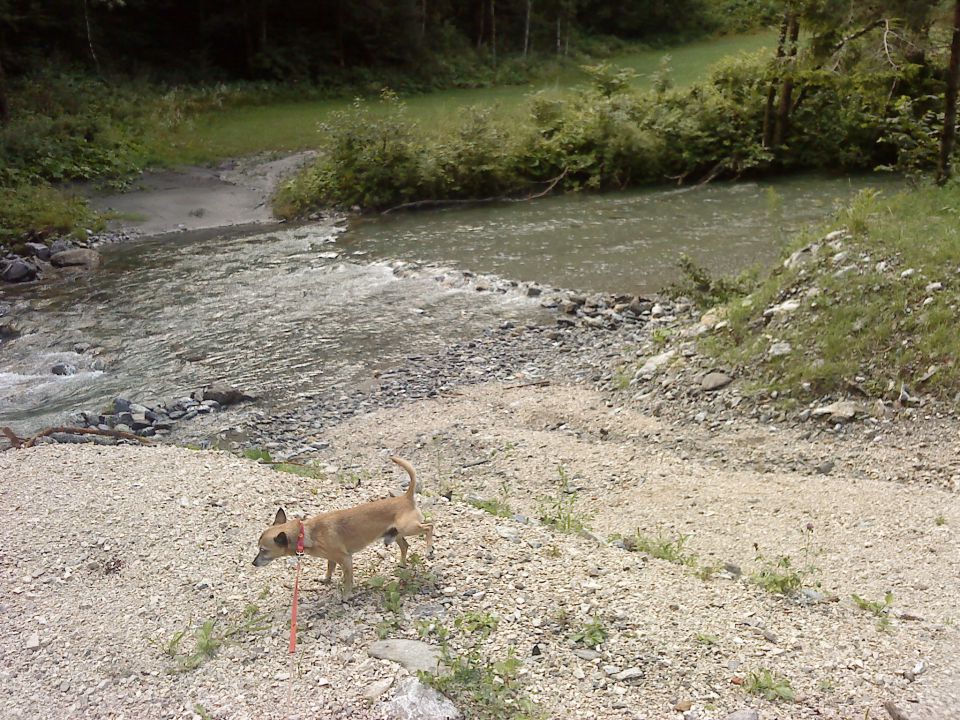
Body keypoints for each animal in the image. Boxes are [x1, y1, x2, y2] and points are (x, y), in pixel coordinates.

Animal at [255, 456, 436, 600]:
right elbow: (330, 569)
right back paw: (403, 564)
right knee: (405, 546)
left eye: (263, 550)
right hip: (396, 533)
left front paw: (347, 595)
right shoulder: (332, 559)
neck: (305, 533)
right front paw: (326, 579)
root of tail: (406, 497)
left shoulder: (346, 559)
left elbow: (348, 580)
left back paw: (429, 550)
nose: (253, 563)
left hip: (408, 528)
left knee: (429, 526)